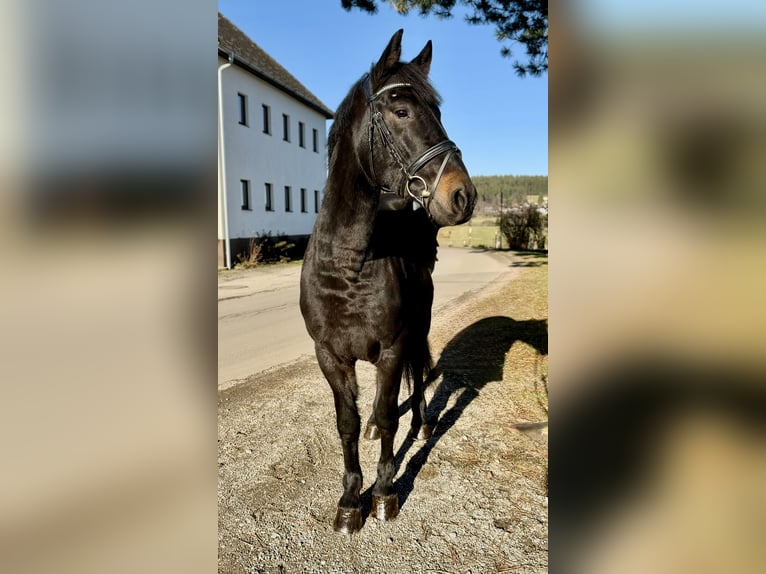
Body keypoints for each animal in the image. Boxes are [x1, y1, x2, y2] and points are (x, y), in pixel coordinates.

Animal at [299, 29, 477, 535]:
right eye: (401, 111)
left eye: (439, 111)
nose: (463, 195)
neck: (349, 263)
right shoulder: (330, 355)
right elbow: (348, 422)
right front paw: (348, 500)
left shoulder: (393, 347)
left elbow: (386, 410)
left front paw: (382, 493)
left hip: (418, 325)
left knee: (415, 377)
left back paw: (421, 421)